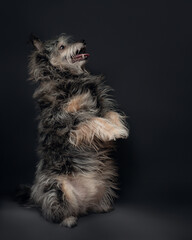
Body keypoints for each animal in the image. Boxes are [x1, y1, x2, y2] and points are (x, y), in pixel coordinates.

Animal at [19, 33, 129, 227]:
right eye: (62, 47)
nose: (83, 41)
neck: (67, 76)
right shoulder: (67, 122)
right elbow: (95, 120)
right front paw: (116, 132)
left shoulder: (102, 105)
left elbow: (112, 114)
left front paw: (119, 127)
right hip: (57, 189)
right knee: (56, 212)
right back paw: (69, 220)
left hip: (106, 180)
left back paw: (101, 207)